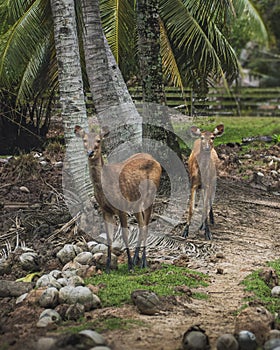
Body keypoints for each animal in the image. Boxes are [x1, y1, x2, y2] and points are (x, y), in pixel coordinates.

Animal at [74, 126, 162, 274]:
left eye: (99, 140)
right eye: (84, 140)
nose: (90, 152)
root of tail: (156, 161)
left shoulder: (121, 206)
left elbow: (124, 235)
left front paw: (130, 266)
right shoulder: (105, 210)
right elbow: (109, 238)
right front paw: (108, 268)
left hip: (150, 195)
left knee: (146, 224)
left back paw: (143, 261)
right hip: (136, 203)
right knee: (141, 223)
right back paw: (137, 259)